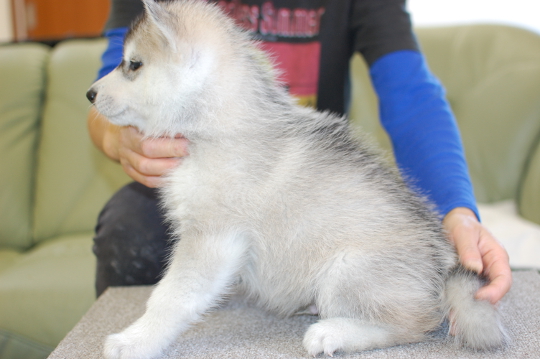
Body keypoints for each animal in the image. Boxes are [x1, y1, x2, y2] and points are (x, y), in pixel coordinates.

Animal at [86, 0, 508, 359]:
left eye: (133, 64)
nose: (89, 93)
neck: (215, 128)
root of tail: (443, 266)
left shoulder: (211, 237)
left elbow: (170, 297)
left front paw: (135, 339)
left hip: (345, 271)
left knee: (413, 323)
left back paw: (333, 332)